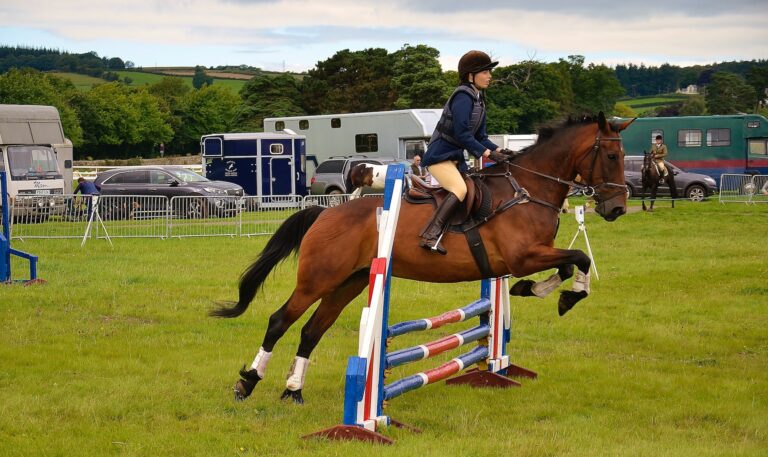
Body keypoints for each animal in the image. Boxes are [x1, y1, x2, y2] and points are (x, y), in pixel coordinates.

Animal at [212, 111, 636, 402]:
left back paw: (293, 389)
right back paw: (248, 382)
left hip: (348, 282)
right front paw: (562, 296)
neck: (528, 189)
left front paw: (540, 291)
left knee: (312, 330)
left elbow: (570, 262)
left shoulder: (530, 257)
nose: (617, 208)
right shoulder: (523, 257)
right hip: (319, 278)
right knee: (280, 320)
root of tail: (326, 212)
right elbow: (578, 257)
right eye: (611, 156)